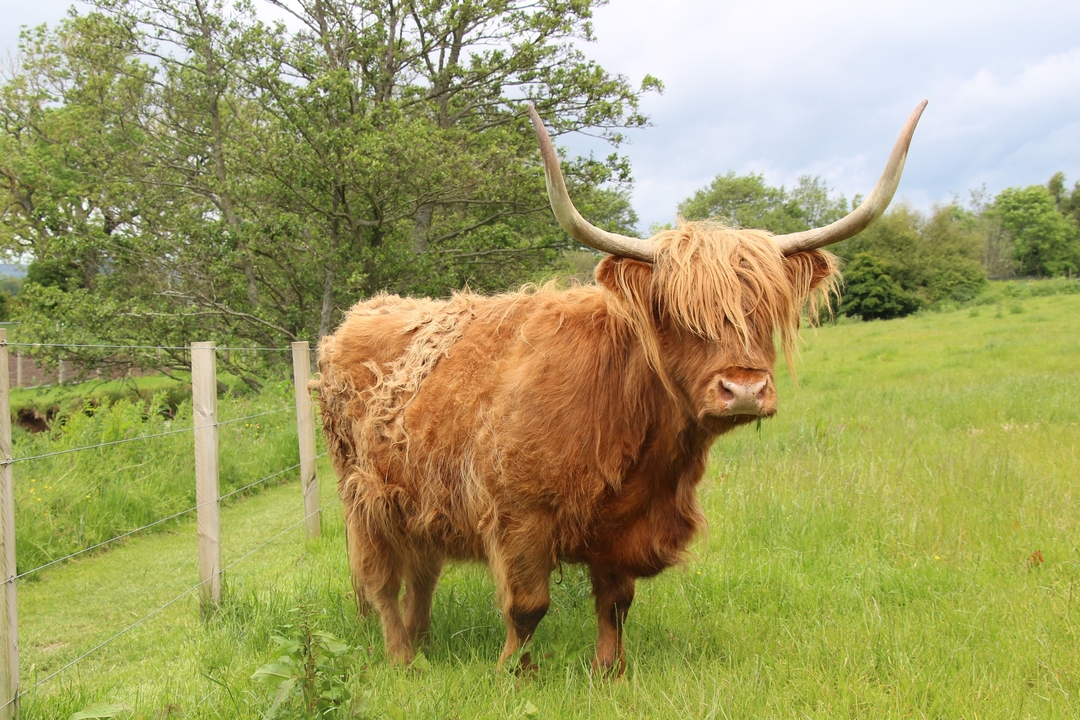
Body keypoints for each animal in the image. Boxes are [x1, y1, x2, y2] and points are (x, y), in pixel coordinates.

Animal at [316, 101, 927, 674]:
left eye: (766, 310)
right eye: (675, 314)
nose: (744, 390)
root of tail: (359, 315)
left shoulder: (627, 524)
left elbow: (615, 604)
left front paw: (608, 673)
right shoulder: (519, 516)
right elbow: (527, 607)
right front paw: (514, 674)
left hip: (418, 503)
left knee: (422, 575)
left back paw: (420, 645)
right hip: (363, 500)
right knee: (383, 583)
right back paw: (402, 658)